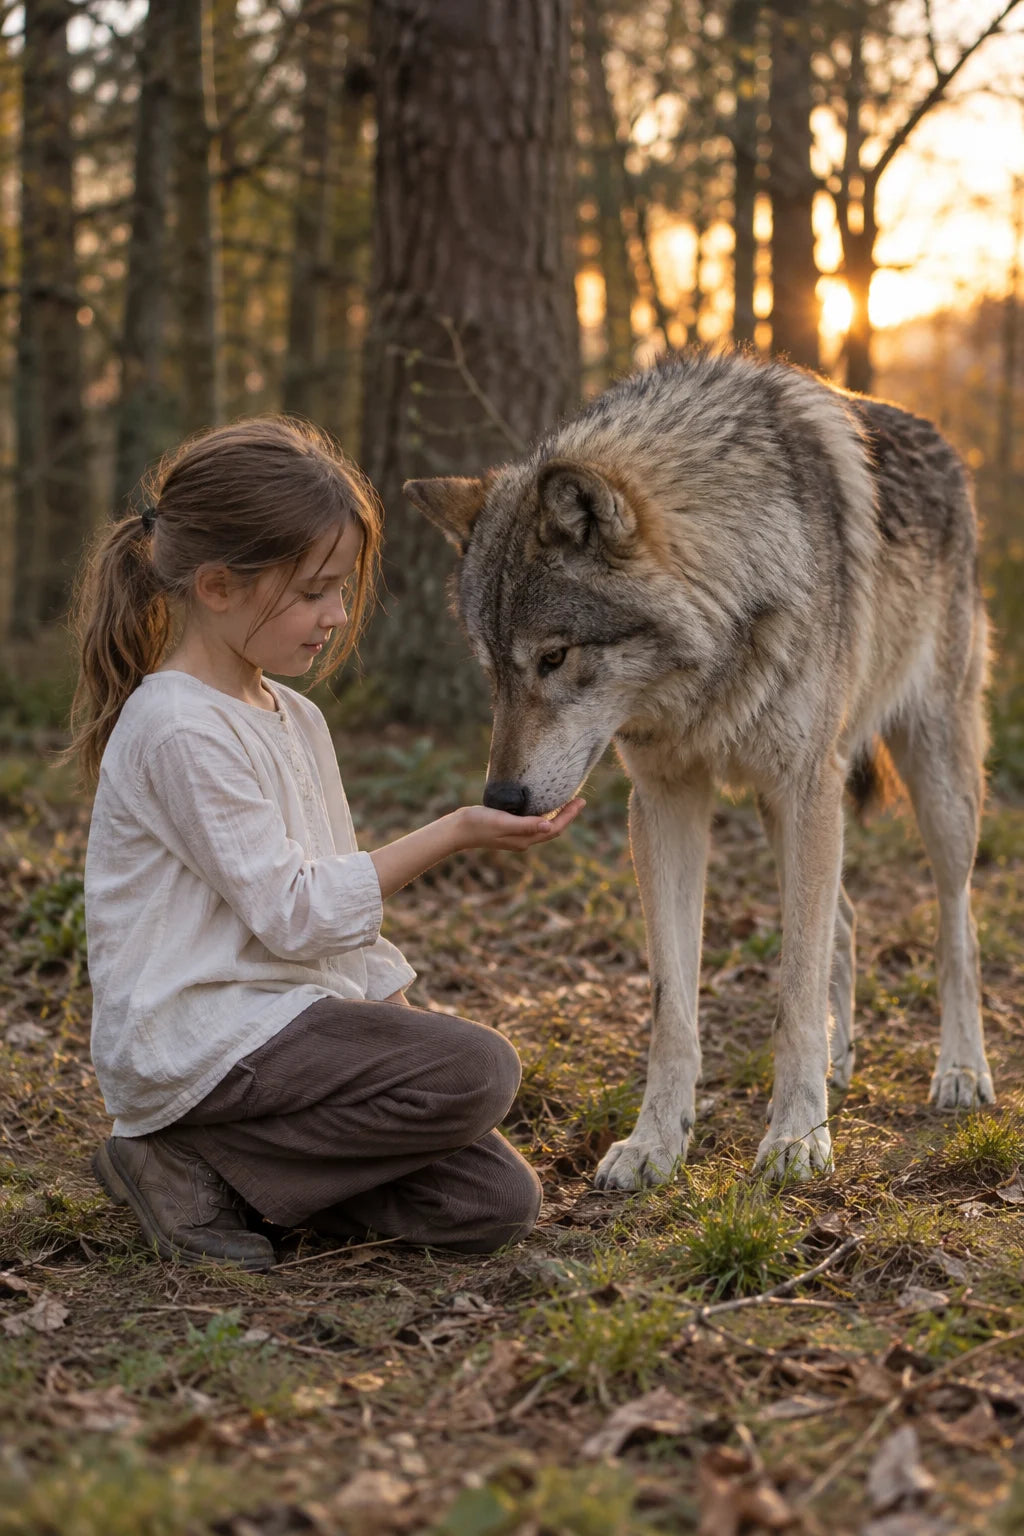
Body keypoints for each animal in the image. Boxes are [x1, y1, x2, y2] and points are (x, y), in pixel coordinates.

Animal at [404, 349, 992, 1188]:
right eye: (493, 674)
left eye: (554, 657)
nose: (504, 797)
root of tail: (946, 445)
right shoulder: (665, 801)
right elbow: (671, 1006)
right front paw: (655, 1143)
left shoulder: (803, 786)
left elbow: (793, 992)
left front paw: (796, 1138)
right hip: (796, 806)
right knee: (845, 919)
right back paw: (842, 1063)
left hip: (932, 780)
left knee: (956, 924)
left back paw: (962, 1070)